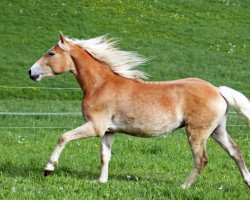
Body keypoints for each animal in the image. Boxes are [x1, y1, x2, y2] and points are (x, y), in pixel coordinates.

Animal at [27, 32, 250, 188]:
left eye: (51, 53)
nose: (31, 72)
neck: (100, 85)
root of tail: (218, 91)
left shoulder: (95, 127)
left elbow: (63, 137)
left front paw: (48, 168)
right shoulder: (108, 131)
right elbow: (105, 156)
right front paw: (101, 181)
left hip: (197, 133)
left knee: (201, 159)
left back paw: (183, 186)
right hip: (217, 131)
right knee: (235, 152)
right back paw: (247, 182)